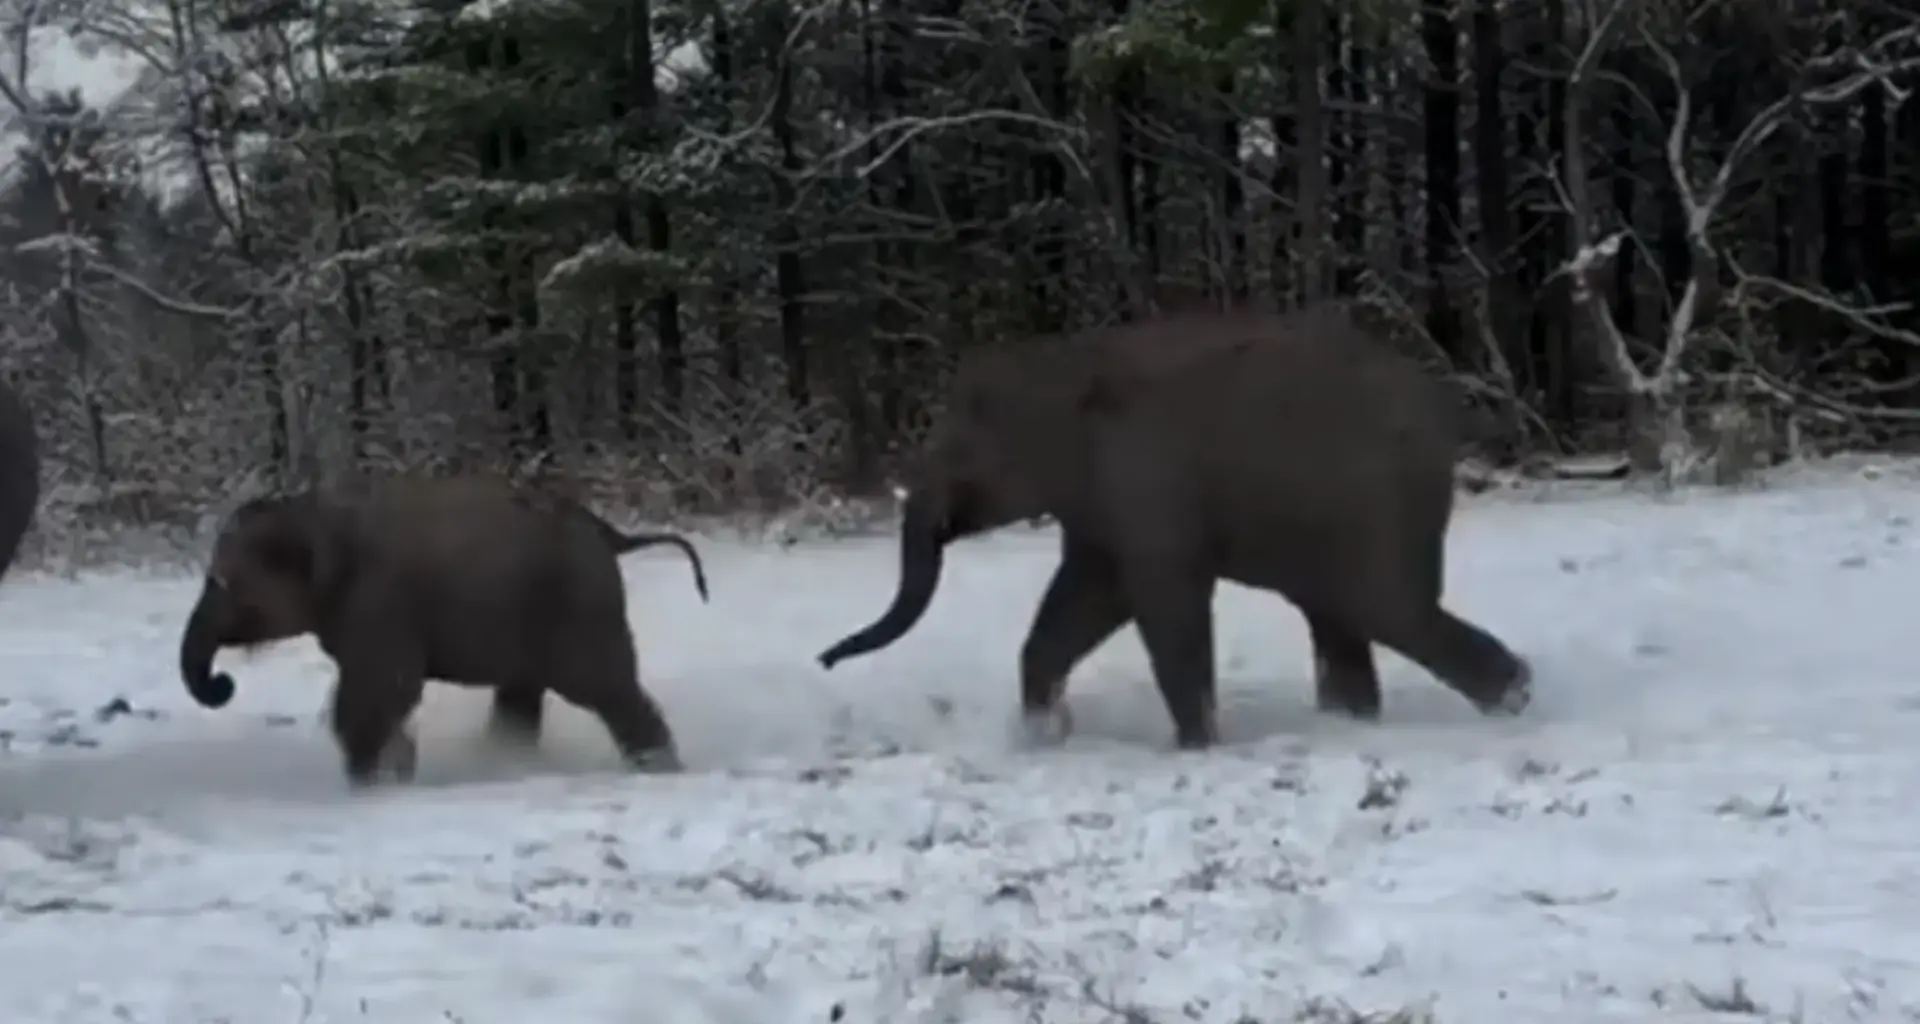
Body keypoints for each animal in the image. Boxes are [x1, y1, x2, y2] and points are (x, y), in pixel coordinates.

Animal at [177, 474, 709, 787]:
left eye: (224, 584)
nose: (222, 684)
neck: (311, 514)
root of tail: (610, 533)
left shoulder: (379, 601)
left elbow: (381, 691)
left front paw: (367, 784)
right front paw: (392, 776)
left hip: (580, 608)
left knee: (605, 689)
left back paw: (661, 770)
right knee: (523, 696)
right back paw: (506, 763)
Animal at [816, 303, 1533, 750]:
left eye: (961, 452)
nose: (824, 659)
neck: (1065, 362)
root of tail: (1443, 417)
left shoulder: (1147, 476)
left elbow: (1163, 604)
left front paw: (1195, 746)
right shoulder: (1103, 504)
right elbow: (1081, 600)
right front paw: (1045, 735)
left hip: (1376, 503)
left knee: (1385, 608)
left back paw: (1513, 699)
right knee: (1341, 617)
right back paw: (1357, 723)